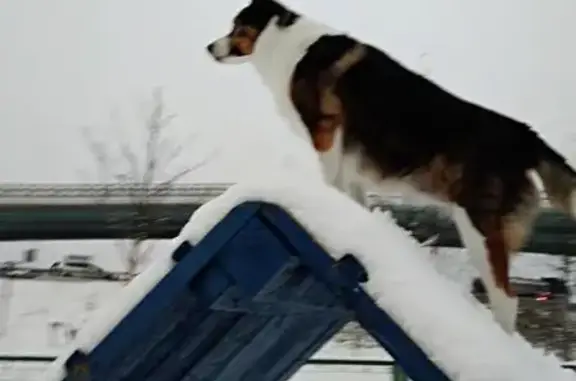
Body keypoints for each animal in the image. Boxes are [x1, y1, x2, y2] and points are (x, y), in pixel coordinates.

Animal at [207, 0, 576, 332]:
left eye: (236, 27)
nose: (210, 47)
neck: (284, 42)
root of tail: (524, 136)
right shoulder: (350, 166)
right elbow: (353, 200)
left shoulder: (326, 134)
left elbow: (328, 180)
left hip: (480, 228)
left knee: (506, 297)